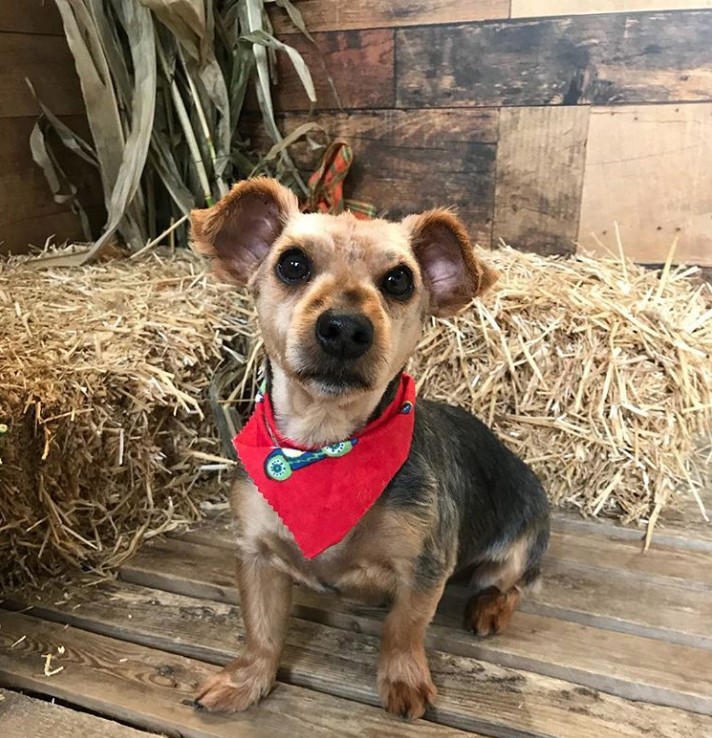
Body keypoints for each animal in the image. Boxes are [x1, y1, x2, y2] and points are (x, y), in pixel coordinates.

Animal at [191, 177, 552, 720]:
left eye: (399, 280)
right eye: (292, 264)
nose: (344, 327)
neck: (325, 445)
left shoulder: (424, 567)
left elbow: (403, 629)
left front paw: (403, 681)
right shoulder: (256, 556)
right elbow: (261, 631)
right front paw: (246, 681)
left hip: (520, 545)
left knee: (513, 584)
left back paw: (489, 607)